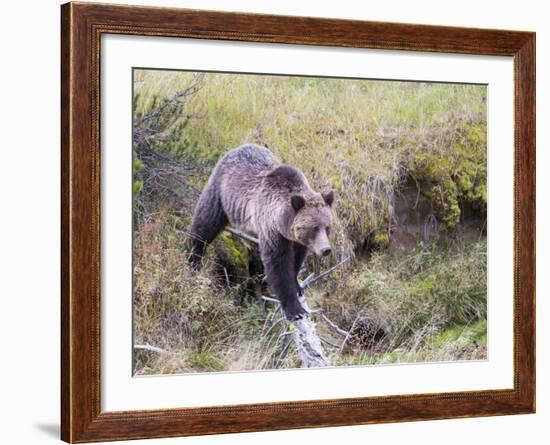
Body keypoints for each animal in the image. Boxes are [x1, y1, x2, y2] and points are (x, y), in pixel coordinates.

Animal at [189, 143, 336, 320]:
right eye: (314, 228)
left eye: (327, 227)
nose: (326, 249)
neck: (283, 222)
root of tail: (237, 148)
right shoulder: (271, 229)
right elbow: (277, 264)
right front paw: (295, 310)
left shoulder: (297, 240)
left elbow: (296, 260)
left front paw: (297, 286)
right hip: (220, 192)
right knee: (205, 224)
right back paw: (193, 258)